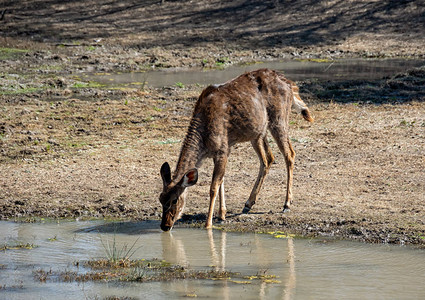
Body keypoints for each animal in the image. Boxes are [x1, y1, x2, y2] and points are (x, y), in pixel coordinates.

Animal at [158, 68, 312, 232]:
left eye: (174, 200)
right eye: (160, 198)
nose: (165, 226)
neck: (204, 140)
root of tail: (290, 85)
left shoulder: (222, 149)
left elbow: (213, 187)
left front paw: (208, 223)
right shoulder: (224, 149)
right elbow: (222, 180)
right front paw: (222, 215)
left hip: (279, 119)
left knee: (289, 154)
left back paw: (286, 204)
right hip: (258, 133)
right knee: (268, 159)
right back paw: (248, 204)